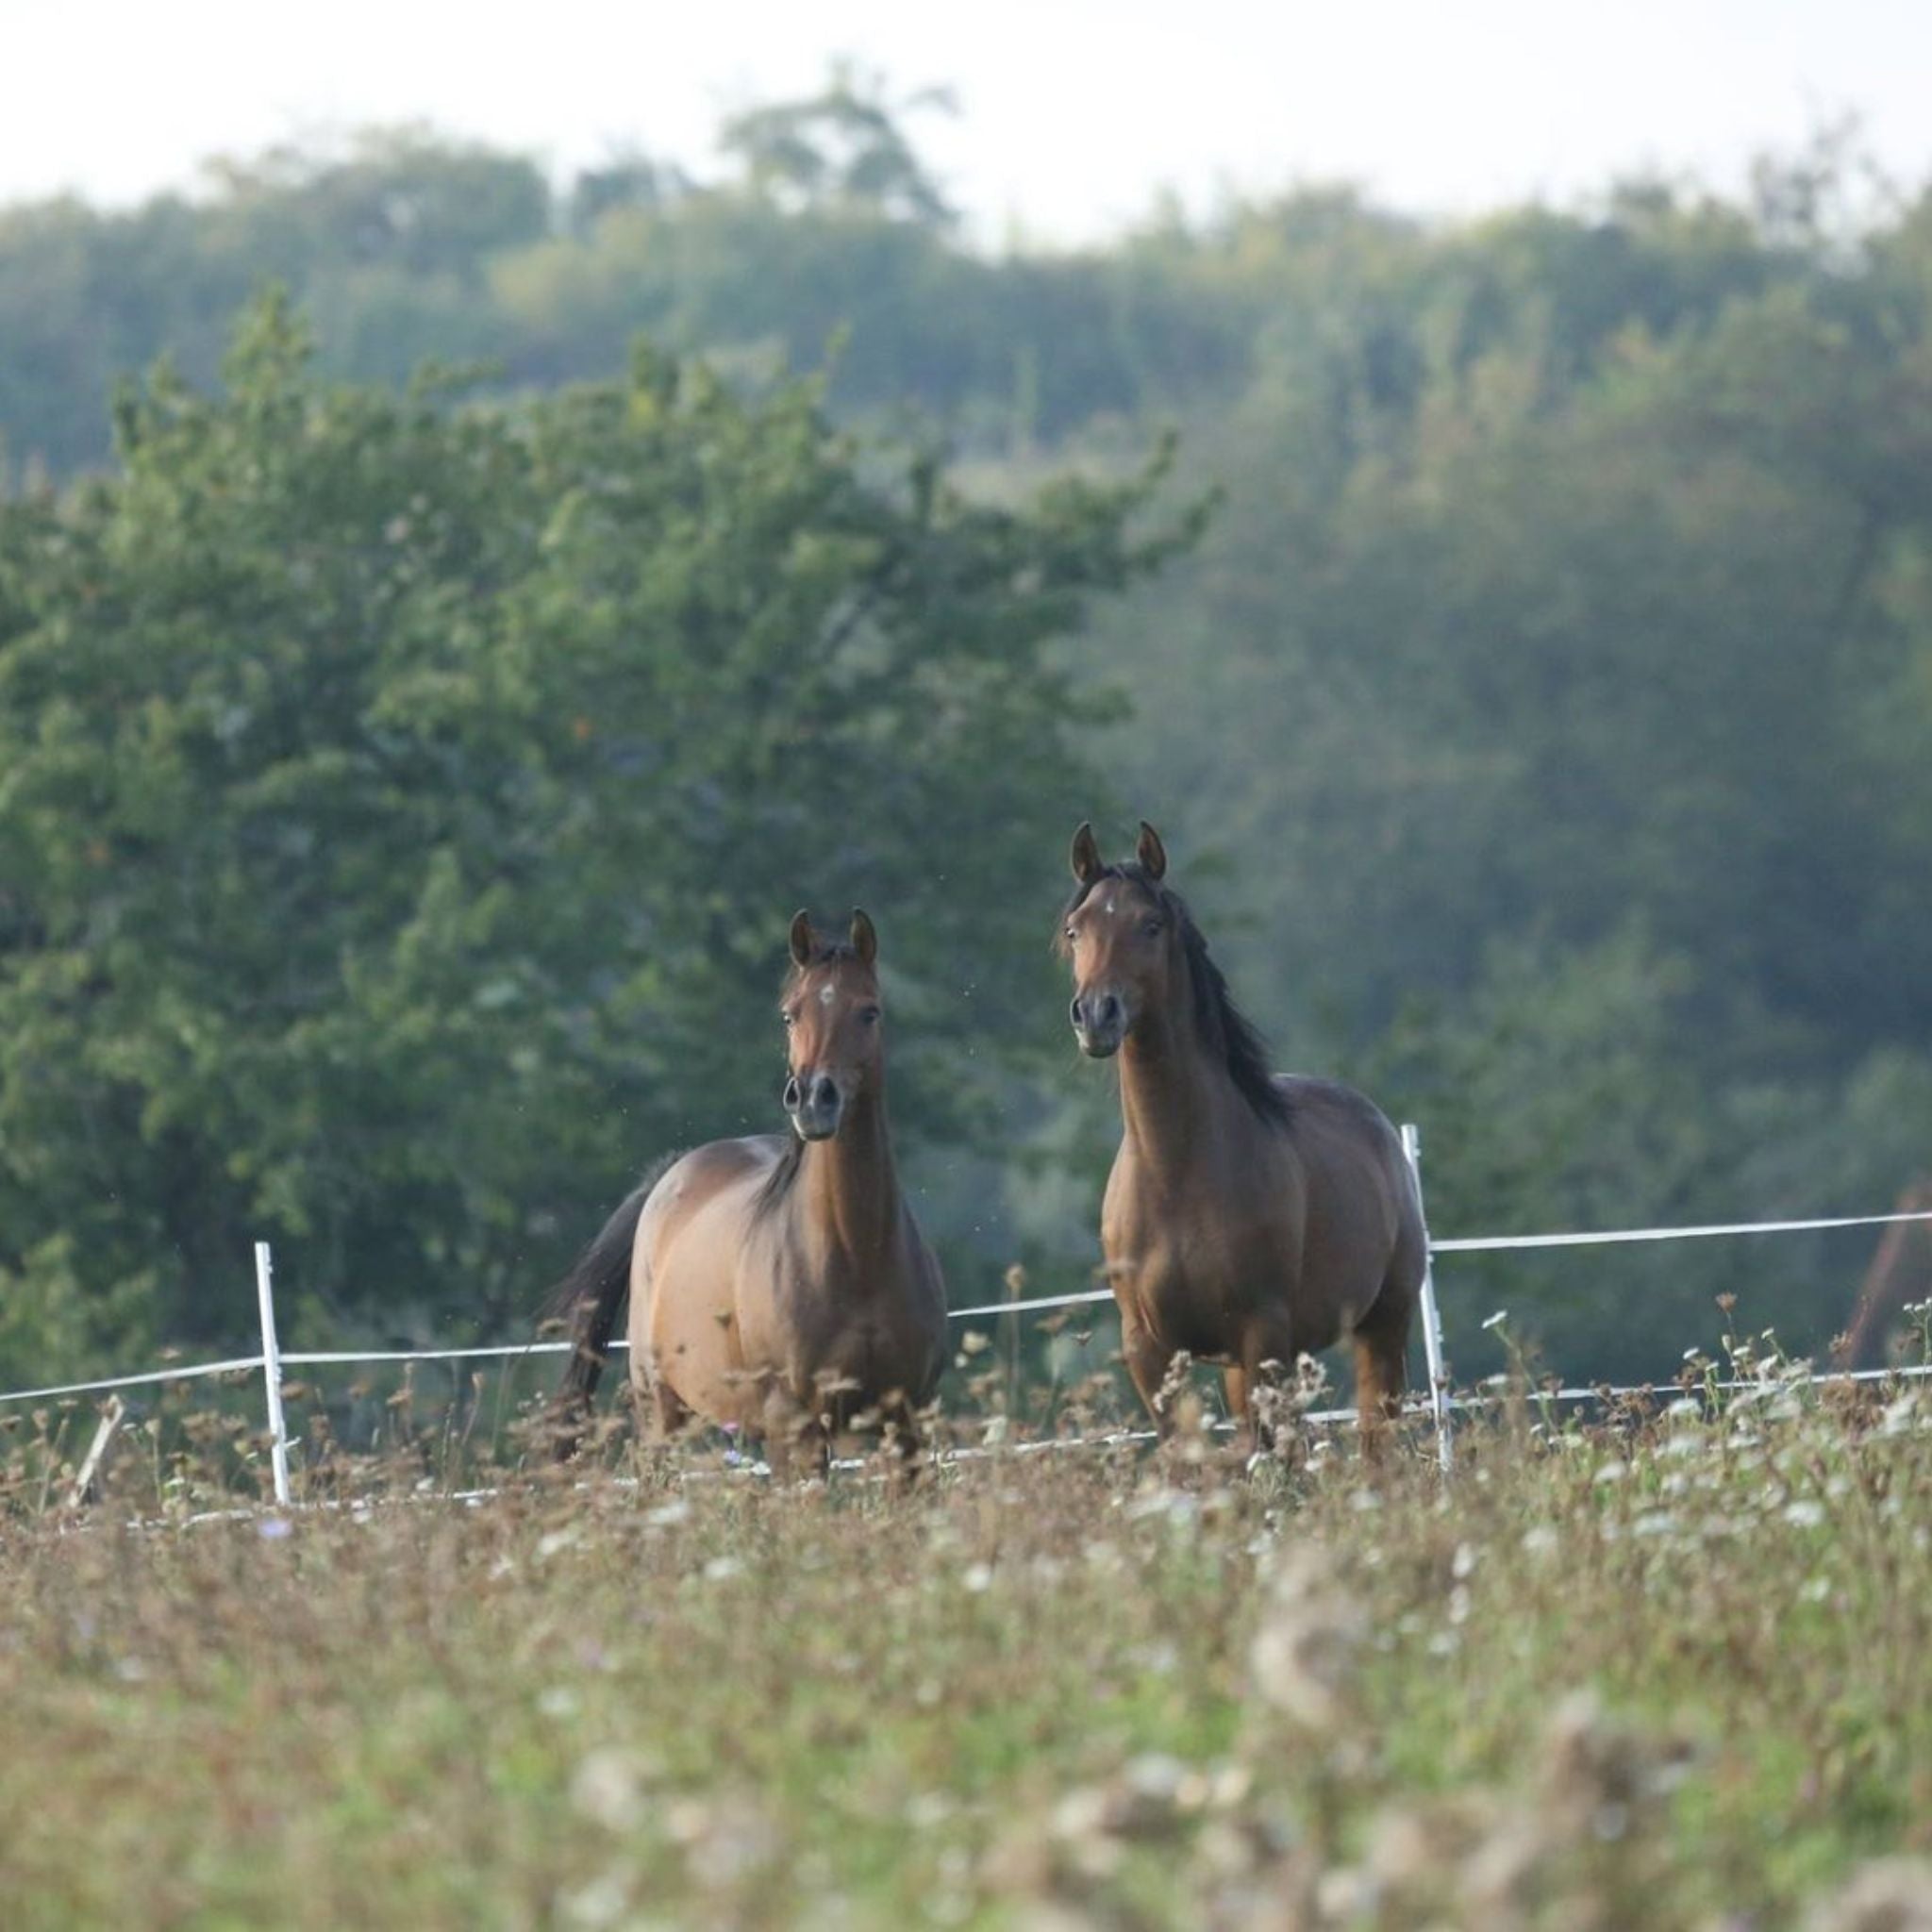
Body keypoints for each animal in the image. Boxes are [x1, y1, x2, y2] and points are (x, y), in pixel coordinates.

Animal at [548, 911, 946, 1468]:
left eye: (869, 1012)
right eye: (789, 1015)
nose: (813, 1100)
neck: (854, 1254)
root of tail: (668, 1178)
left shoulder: (905, 1423)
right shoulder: (795, 1431)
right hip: (662, 1417)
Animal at [1058, 819, 1422, 1453]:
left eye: (1150, 925)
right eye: (1076, 930)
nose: (1097, 1015)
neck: (1175, 1173)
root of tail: (1379, 1127)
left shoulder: (1262, 1332)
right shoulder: (1151, 1350)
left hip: (1380, 1328)